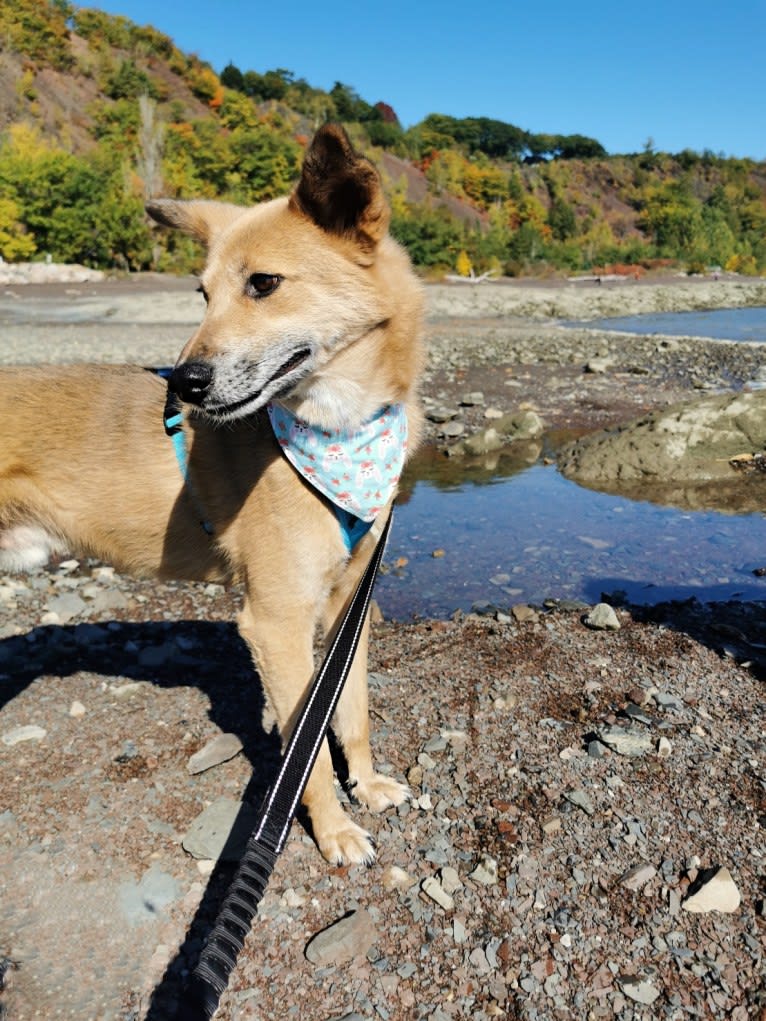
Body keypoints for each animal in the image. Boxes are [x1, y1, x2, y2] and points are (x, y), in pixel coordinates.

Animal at [0, 123, 426, 865]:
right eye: (201, 294)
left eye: (264, 284)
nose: (186, 383)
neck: (339, 431)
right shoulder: (277, 623)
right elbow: (305, 758)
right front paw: (333, 830)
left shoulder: (349, 606)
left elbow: (352, 712)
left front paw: (368, 786)